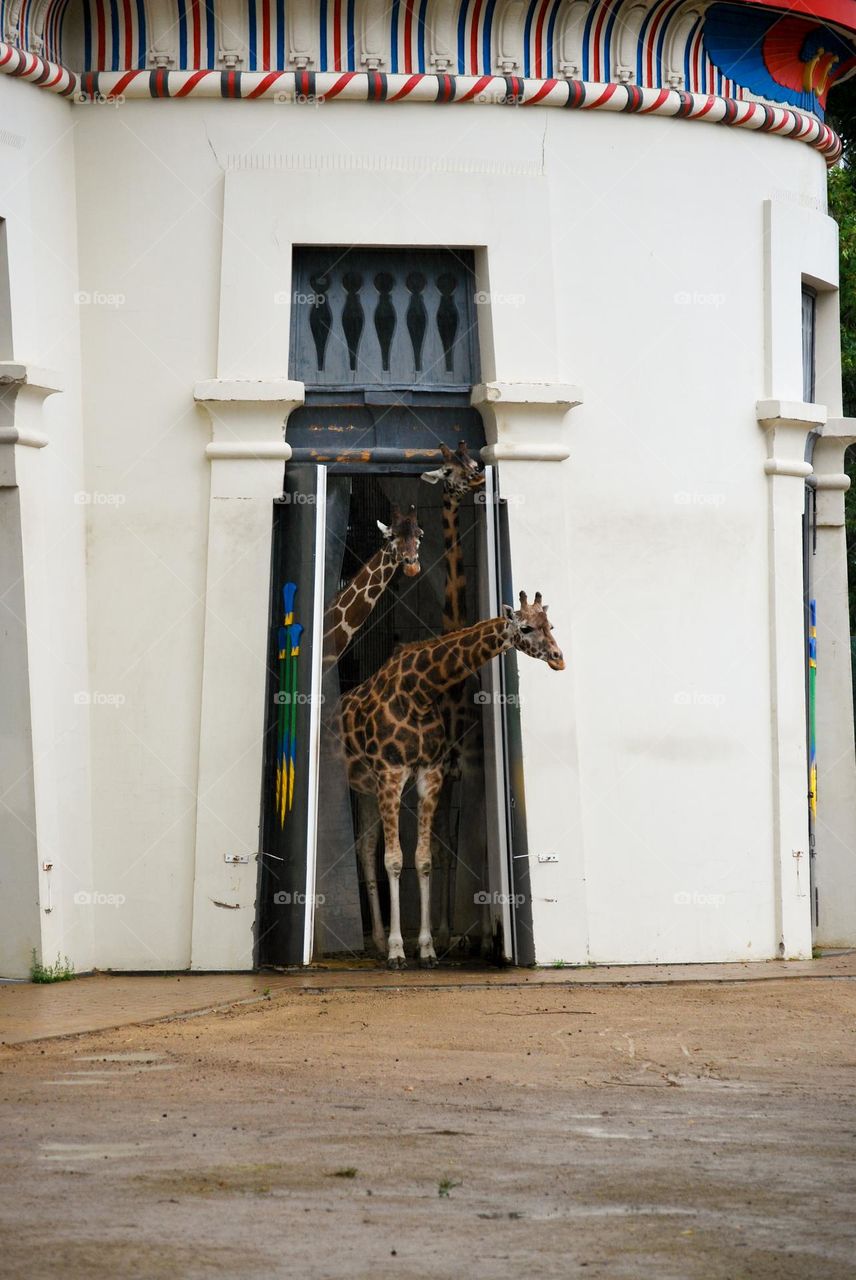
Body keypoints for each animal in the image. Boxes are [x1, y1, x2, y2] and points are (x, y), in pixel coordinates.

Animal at [340, 593, 560, 962]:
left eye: (551, 626)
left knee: (368, 847)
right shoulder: (392, 773)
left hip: (370, 789)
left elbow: (427, 858)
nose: (559, 659)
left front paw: (428, 947)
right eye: (526, 627)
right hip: (361, 786)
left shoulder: (432, 774)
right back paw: (380, 942)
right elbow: (395, 860)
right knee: (367, 850)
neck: (419, 691)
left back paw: (384, 940)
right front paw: (399, 951)